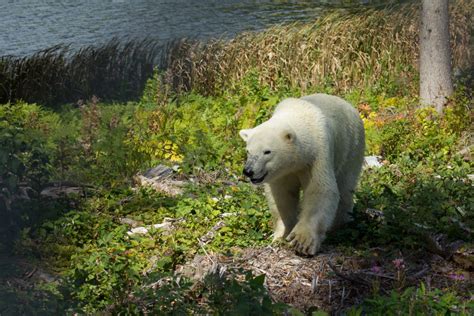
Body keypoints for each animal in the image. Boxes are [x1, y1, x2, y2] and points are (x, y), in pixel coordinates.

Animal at [239, 93, 364, 254]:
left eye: (267, 151)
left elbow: (320, 190)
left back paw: (341, 225)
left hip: (352, 147)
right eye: (248, 151)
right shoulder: (283, 172)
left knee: (346, 186)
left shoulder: (318, 154)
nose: (248, 171)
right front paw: (281, 235)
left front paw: (302, 241)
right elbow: (282, 196)